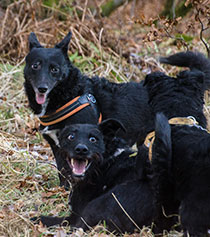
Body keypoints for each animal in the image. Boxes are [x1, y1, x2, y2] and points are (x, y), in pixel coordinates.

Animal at [23, 31, 153, 188]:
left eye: (55, 69)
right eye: (35, 66)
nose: (42, 88)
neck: (68, 95)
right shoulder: (58, 147)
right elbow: (64, 173)